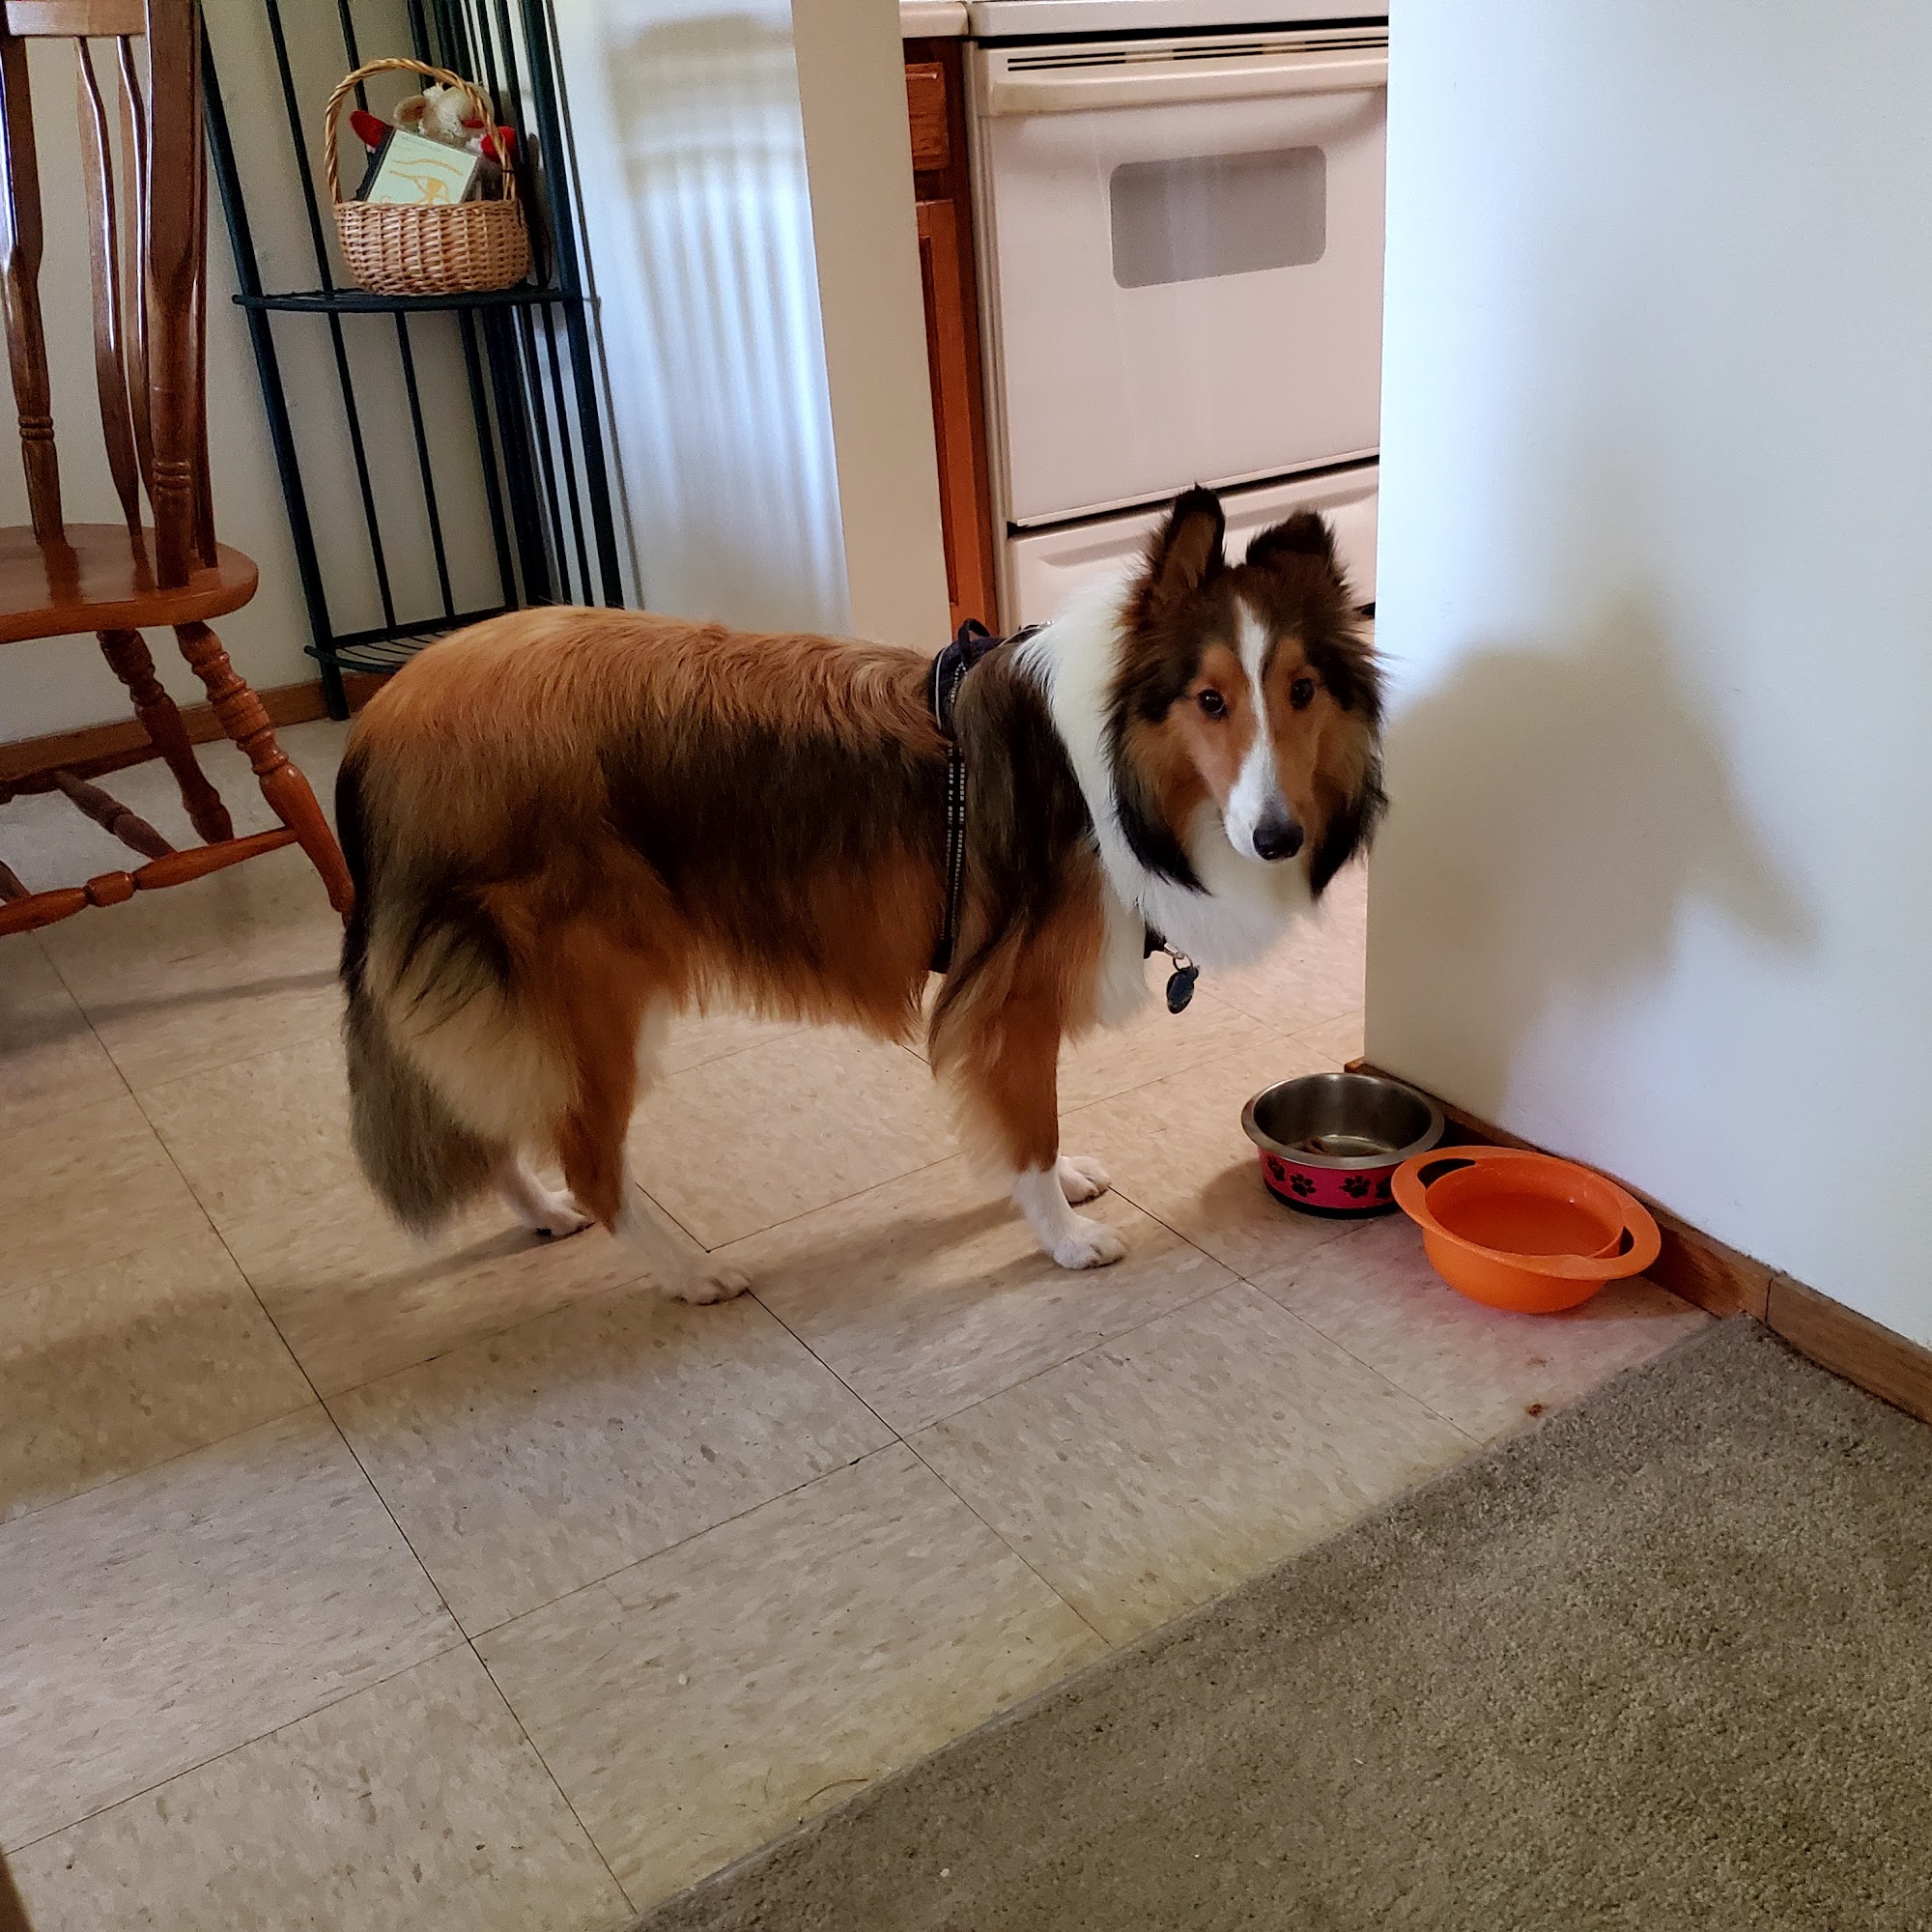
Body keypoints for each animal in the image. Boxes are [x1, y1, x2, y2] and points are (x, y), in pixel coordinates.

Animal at [336, 486, 1384, 1300]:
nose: (1277, 836)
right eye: (1209, 699)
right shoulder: (1007, 1000)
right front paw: (1065, 1237)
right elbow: (1029, 1127)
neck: (1115, 764)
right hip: (589, 988)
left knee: (482, 1108)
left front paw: (1065, 1188)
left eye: (1300, 690)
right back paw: (690, 1271)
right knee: (588, 1158)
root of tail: (377, 725)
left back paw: (541, 1213)